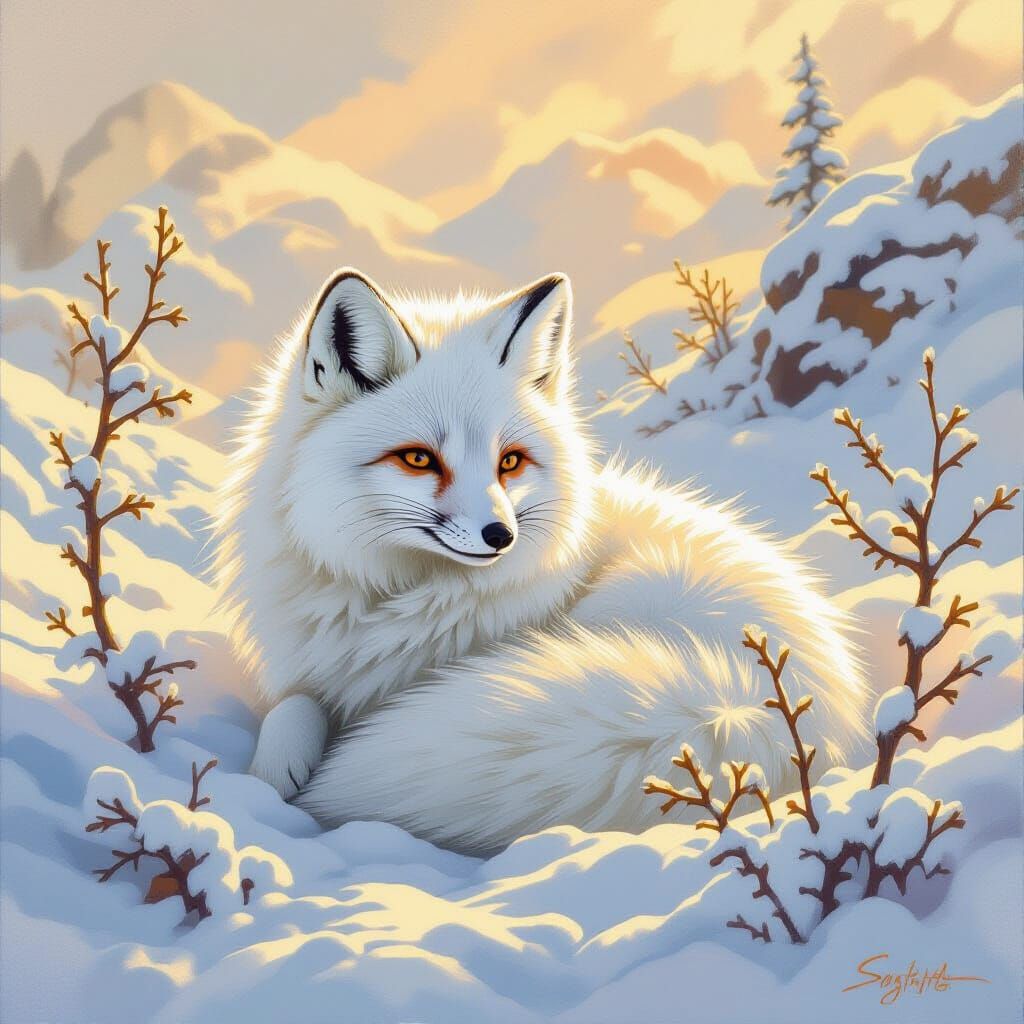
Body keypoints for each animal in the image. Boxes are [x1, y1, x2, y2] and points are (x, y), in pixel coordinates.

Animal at [215, 267, 868, 856]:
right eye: (419, 459)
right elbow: (294, 705)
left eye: (510, 462)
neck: (390, 599)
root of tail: (745, 709)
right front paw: (276, 768)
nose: (499, 535)